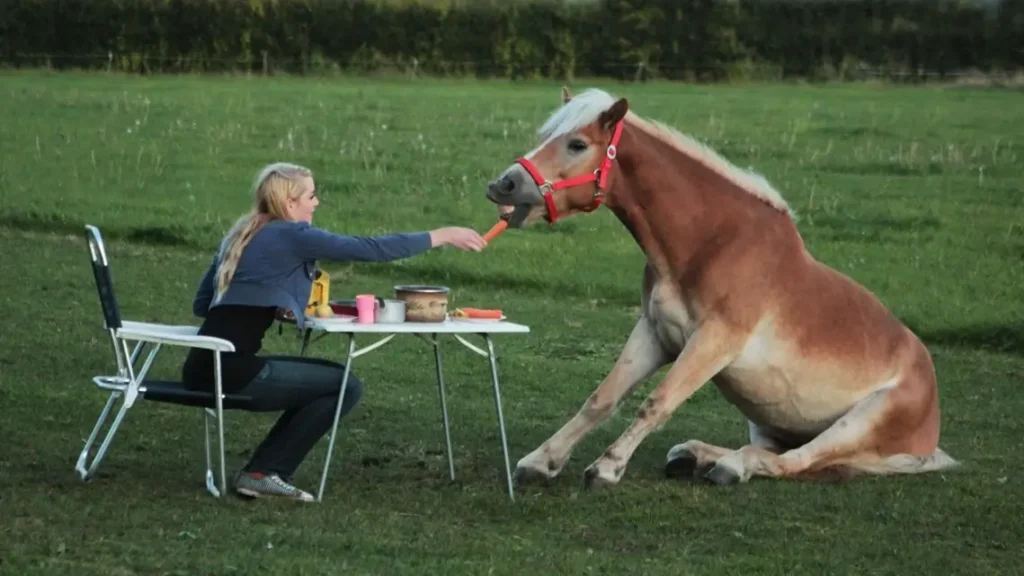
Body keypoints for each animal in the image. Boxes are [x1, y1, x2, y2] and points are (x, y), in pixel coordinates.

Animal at [483, 86, 957, 490]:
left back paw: (729, 466)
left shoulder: (714, 342)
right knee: (773, 450)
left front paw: (607, 468)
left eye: (578, 144)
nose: (502, 185)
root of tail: (929, 430)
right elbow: (602, 398)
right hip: (768, 420)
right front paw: (541, 461)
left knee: (793, 461)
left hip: (857, 423)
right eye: (546, 135)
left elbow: (657, 401)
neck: (709, 244)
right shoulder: (655, 333)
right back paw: (695, 455)